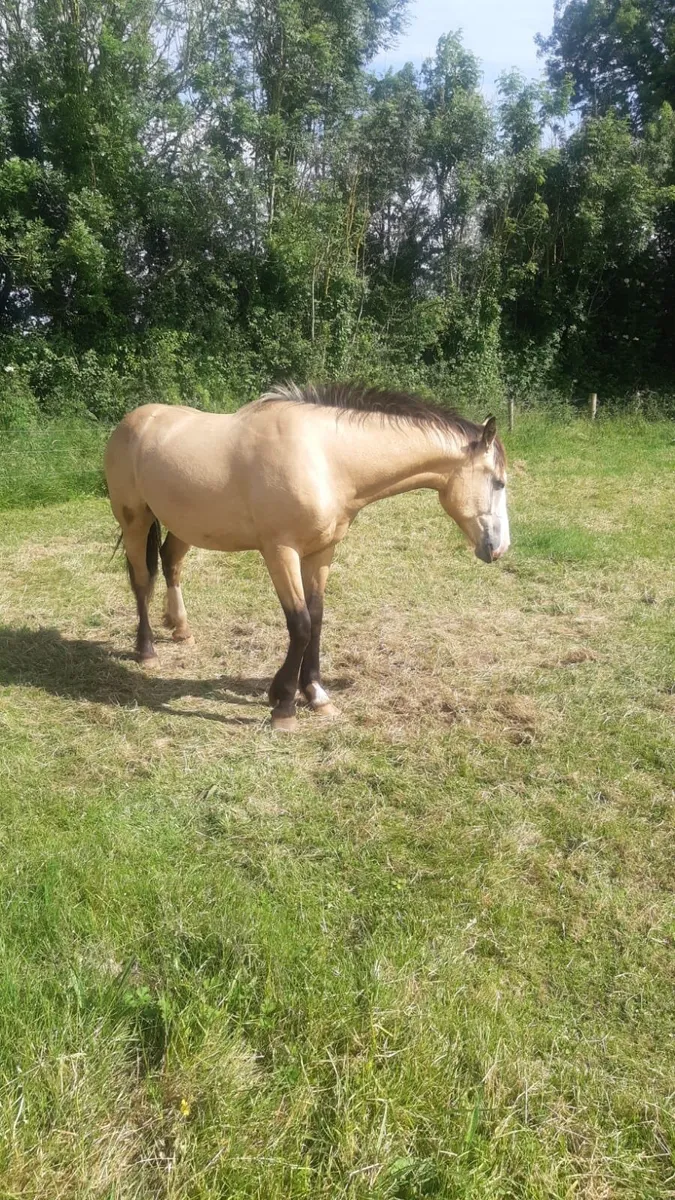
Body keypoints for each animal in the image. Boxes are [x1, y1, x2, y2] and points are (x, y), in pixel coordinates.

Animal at [104, 383, 510, 731]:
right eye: (499, 482)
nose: (500, 548)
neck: (326, 459)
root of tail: (133, 420)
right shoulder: (280, 552)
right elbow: (299, 623)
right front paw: (284, 704)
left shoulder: (321, 552)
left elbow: (316, 618)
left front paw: (315, 694)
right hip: (135, 519)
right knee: (141, 579)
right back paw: (147, 650)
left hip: (185, 525)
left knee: (170, 562)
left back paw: (181, 629)